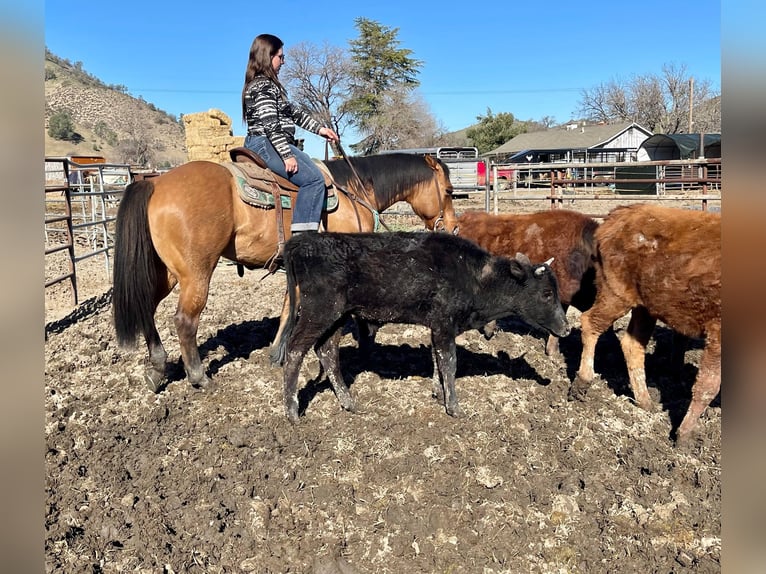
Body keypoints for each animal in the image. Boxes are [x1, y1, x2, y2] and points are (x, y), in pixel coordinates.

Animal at [113, 151, 460, 394]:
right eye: (448, 190)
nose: (454, 228)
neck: (353, 192)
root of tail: (154, 182)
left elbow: (286, 306)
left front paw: (277, 351)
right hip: (196, 273)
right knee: (185, 321)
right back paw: (199, 377)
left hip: (168, 272)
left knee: (147, 307)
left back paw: (157, 369)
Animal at [572, 205, 724, 448]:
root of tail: (621, 213)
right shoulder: (717, 334)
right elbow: (707, 386)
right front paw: (684, 436)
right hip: (616, 296)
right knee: (590, 323)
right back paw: (582, 382)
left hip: (644, 307)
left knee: (632, 344)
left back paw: (645, 401)